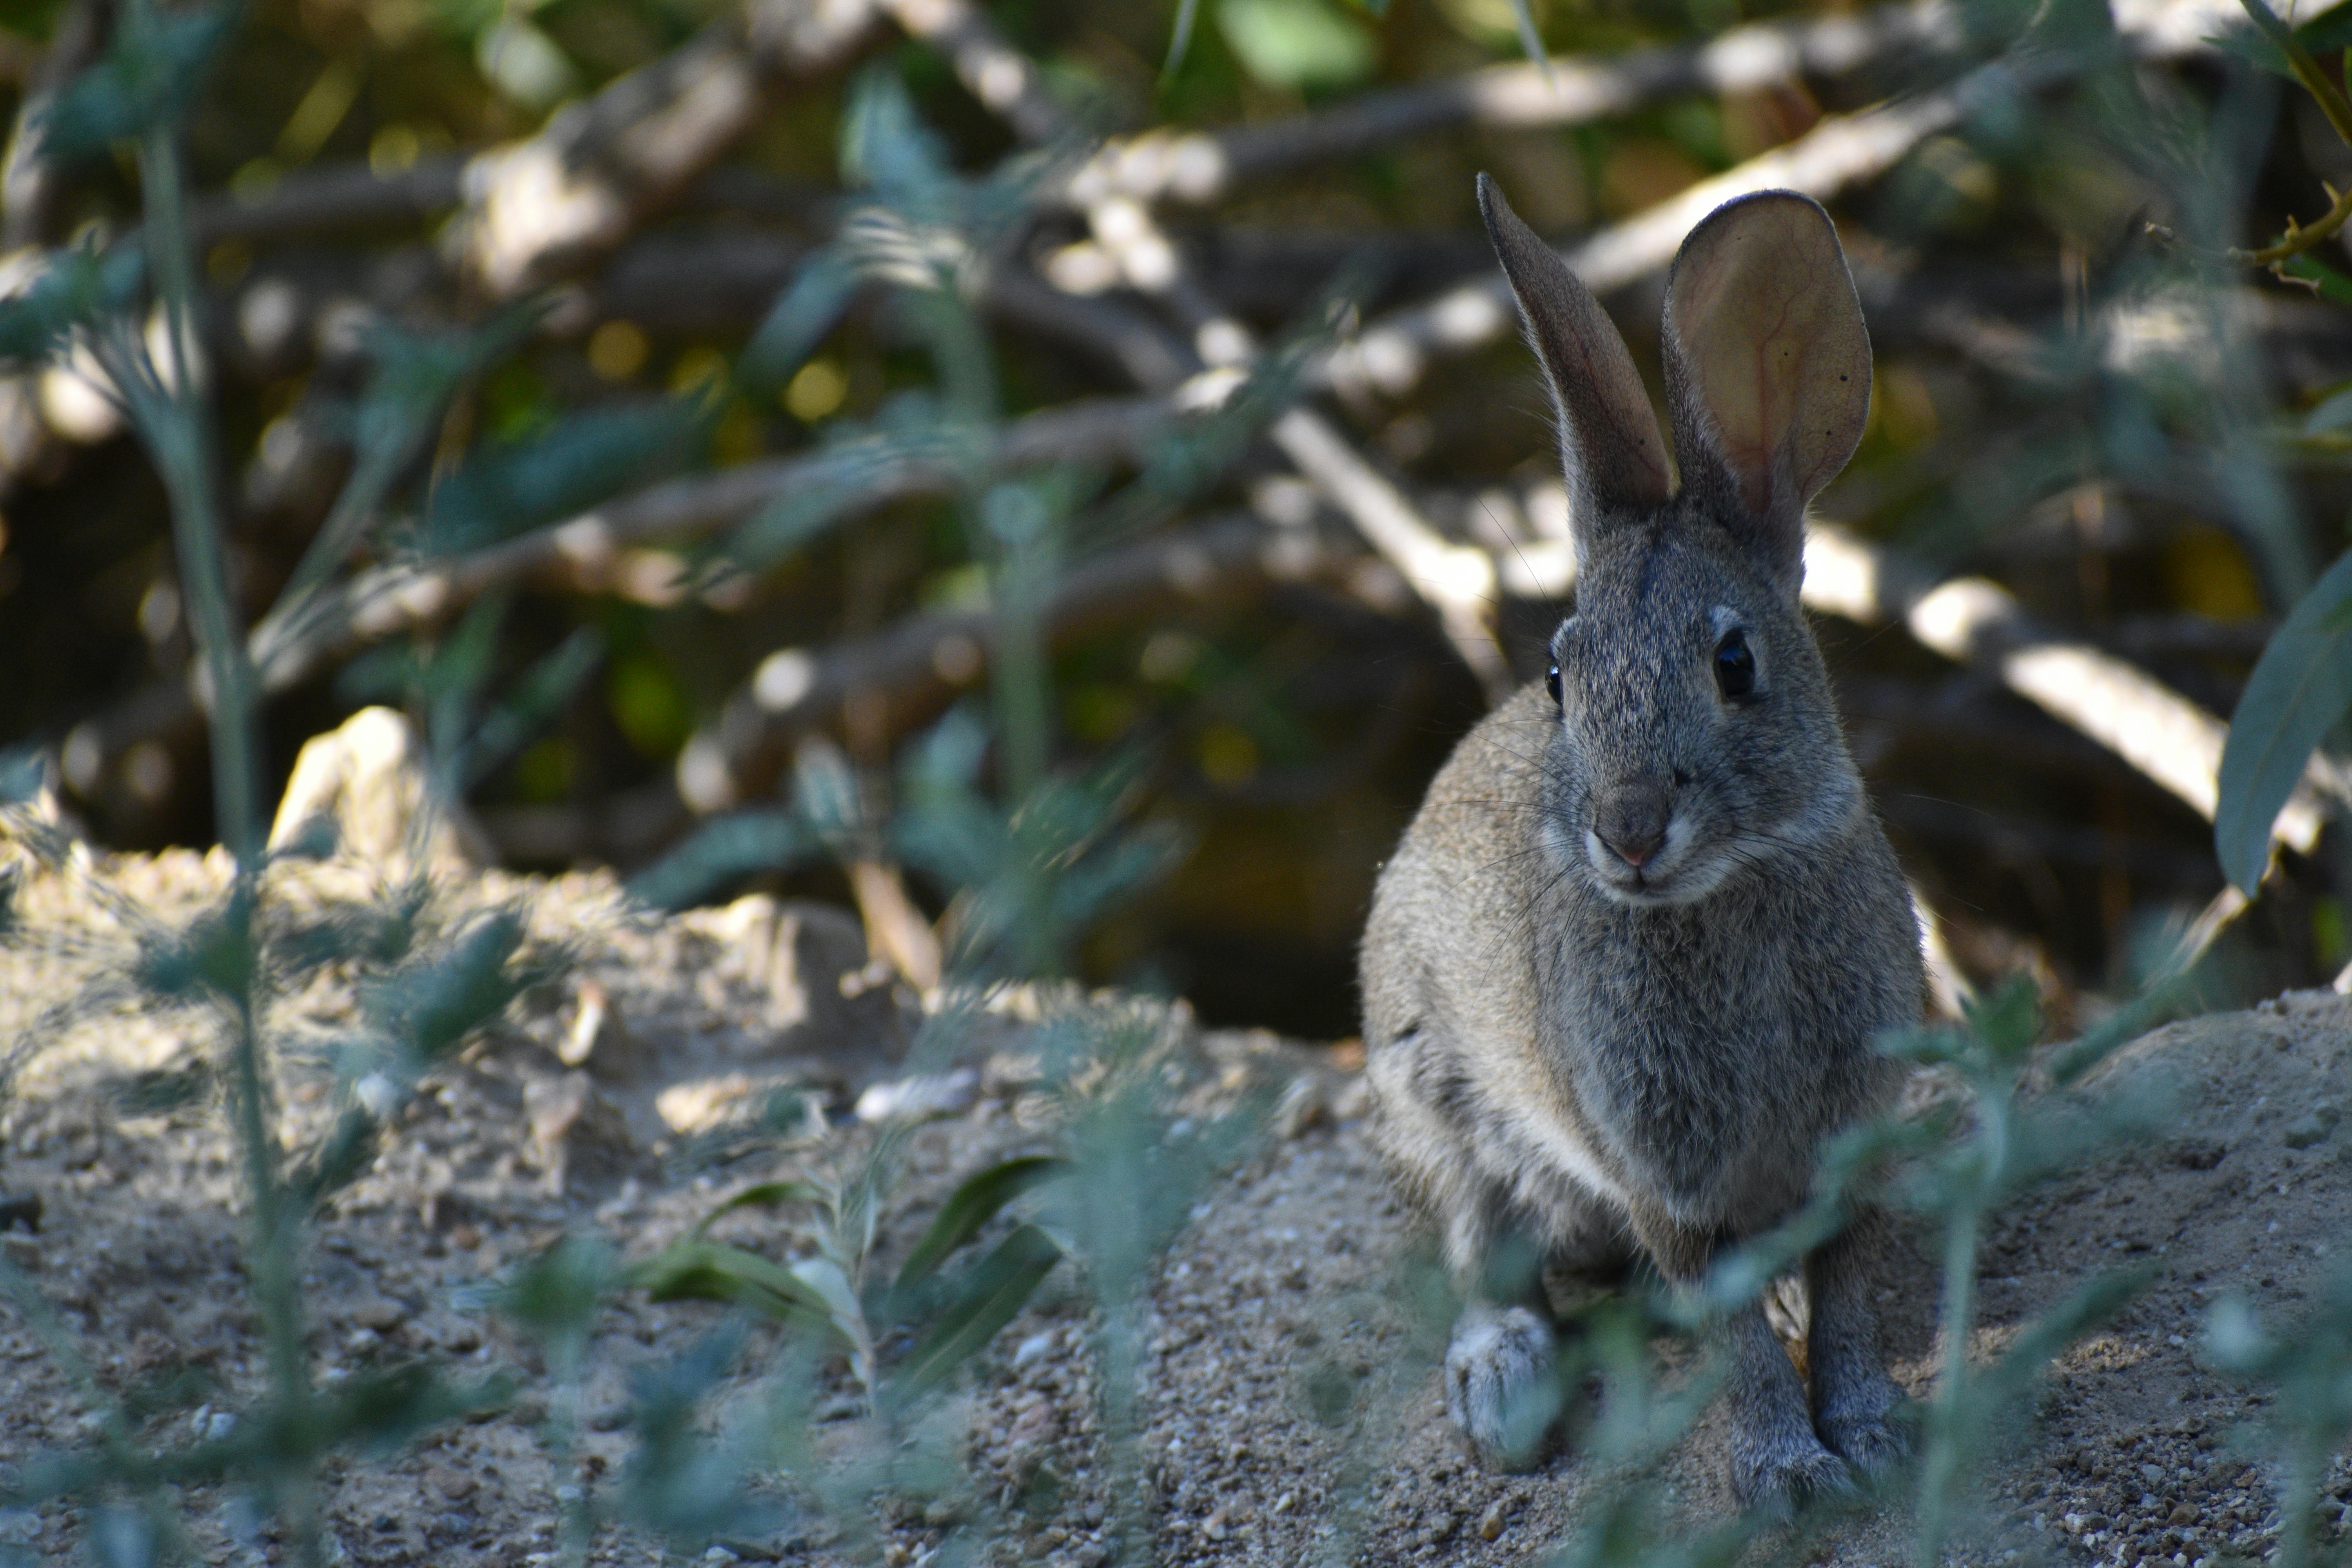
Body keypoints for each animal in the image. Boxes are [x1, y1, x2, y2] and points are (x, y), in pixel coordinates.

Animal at [1364, 177, 1929, 1514]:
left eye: (1733, 661)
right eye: (1558, 677)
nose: (1626, 831)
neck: (1730, 889)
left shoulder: (1854, 1141)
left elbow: (1847, 1296)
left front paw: (1875, 1437)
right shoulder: (1660, 1174)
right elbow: (1727, 1323)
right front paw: (1790, 1473)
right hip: (1428, 1089)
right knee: (1480, 1251)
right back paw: (1503, 1390)